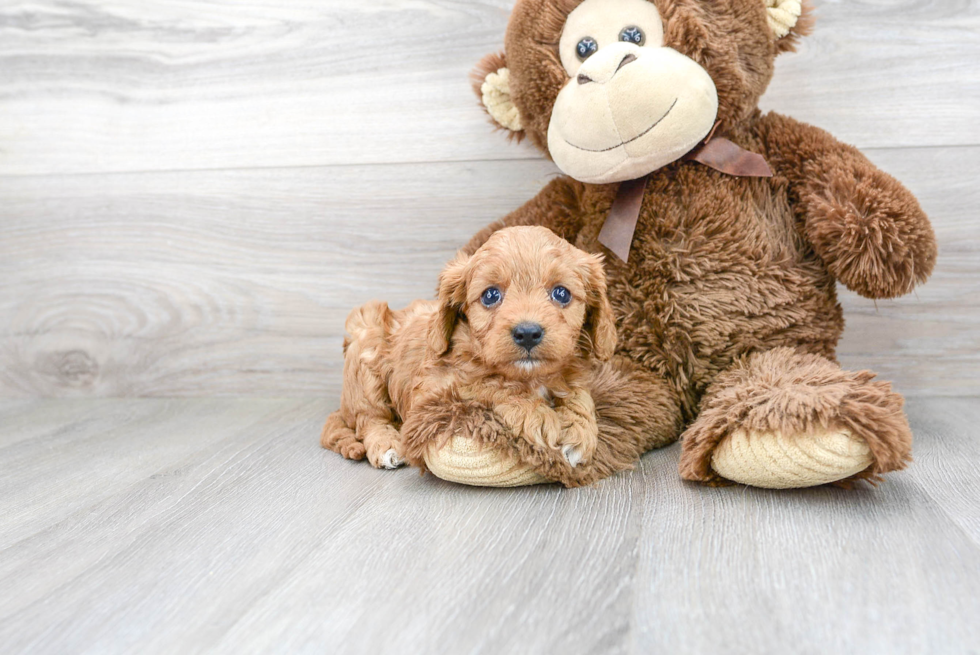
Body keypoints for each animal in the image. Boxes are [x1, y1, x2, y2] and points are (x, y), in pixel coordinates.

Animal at [322, 226, 616, 472]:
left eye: (561, 293)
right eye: (490, 295)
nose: (528, 333)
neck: (530, 376)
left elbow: (580, 394)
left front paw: (579, 430)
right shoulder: (434, 389)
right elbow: (489, 385)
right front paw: (539, 416)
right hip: (366, 348)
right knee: (370, 418)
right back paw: (387, 446)